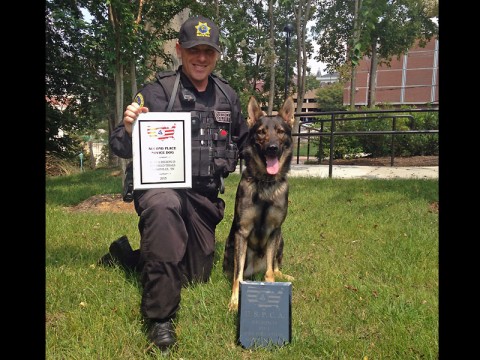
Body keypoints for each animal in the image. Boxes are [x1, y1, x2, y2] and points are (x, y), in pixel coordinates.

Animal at [223, 96, 294, 312]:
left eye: (280, 132)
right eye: (261, 132)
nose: (272, 148)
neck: (265, 183)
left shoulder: (274, 230)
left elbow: (270, 272)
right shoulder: (242, 232)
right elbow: (237, 276)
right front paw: (235, 301)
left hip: (281, 239)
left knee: (274, 266)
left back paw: (283, 274)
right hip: (232, 245)